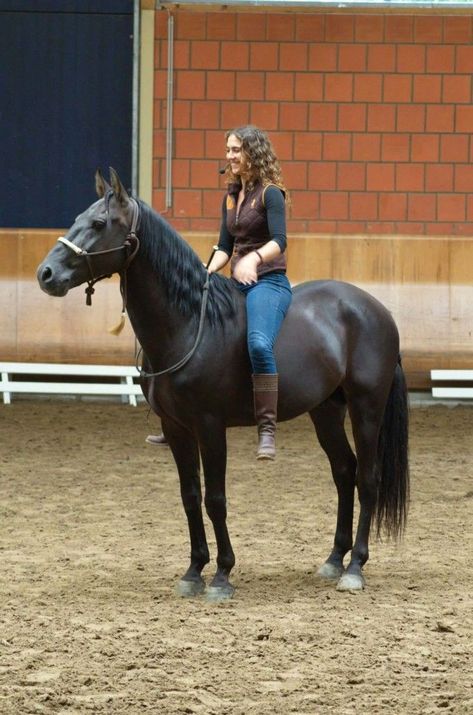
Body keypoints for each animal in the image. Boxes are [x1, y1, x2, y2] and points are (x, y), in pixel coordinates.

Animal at [37, 168, 408, 600]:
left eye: (99, 223)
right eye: (78, 218)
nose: (46, 274)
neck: (189, 325)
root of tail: (377, 310)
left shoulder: (211, 426)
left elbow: (215, 499)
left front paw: (221, 575)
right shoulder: (176, 428)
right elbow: (190, 496)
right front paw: (193, 571)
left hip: (367, 408)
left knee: (368, 478)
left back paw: (355, 568)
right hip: (326, 411)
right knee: (344, 471)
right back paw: (334, 560)